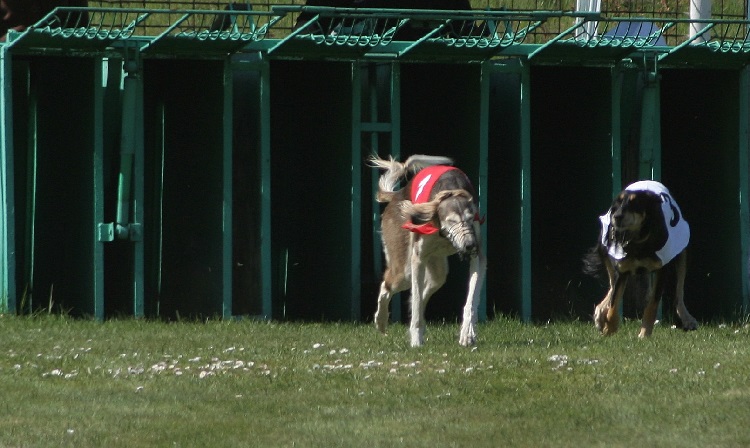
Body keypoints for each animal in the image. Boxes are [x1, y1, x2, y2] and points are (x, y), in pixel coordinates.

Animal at [588, 180, 700, 338]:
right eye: (618, 203)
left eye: (635, 203)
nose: (617, 216)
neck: (638, 241)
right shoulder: (621, 269)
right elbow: (614, 304)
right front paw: (609, 330)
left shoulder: (662, 269)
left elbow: (652, 305)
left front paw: (644, 333)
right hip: (606, 249)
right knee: (611, 287)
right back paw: (600, 314)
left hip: (683, 250)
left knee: (679, 291)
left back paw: (687, 319)